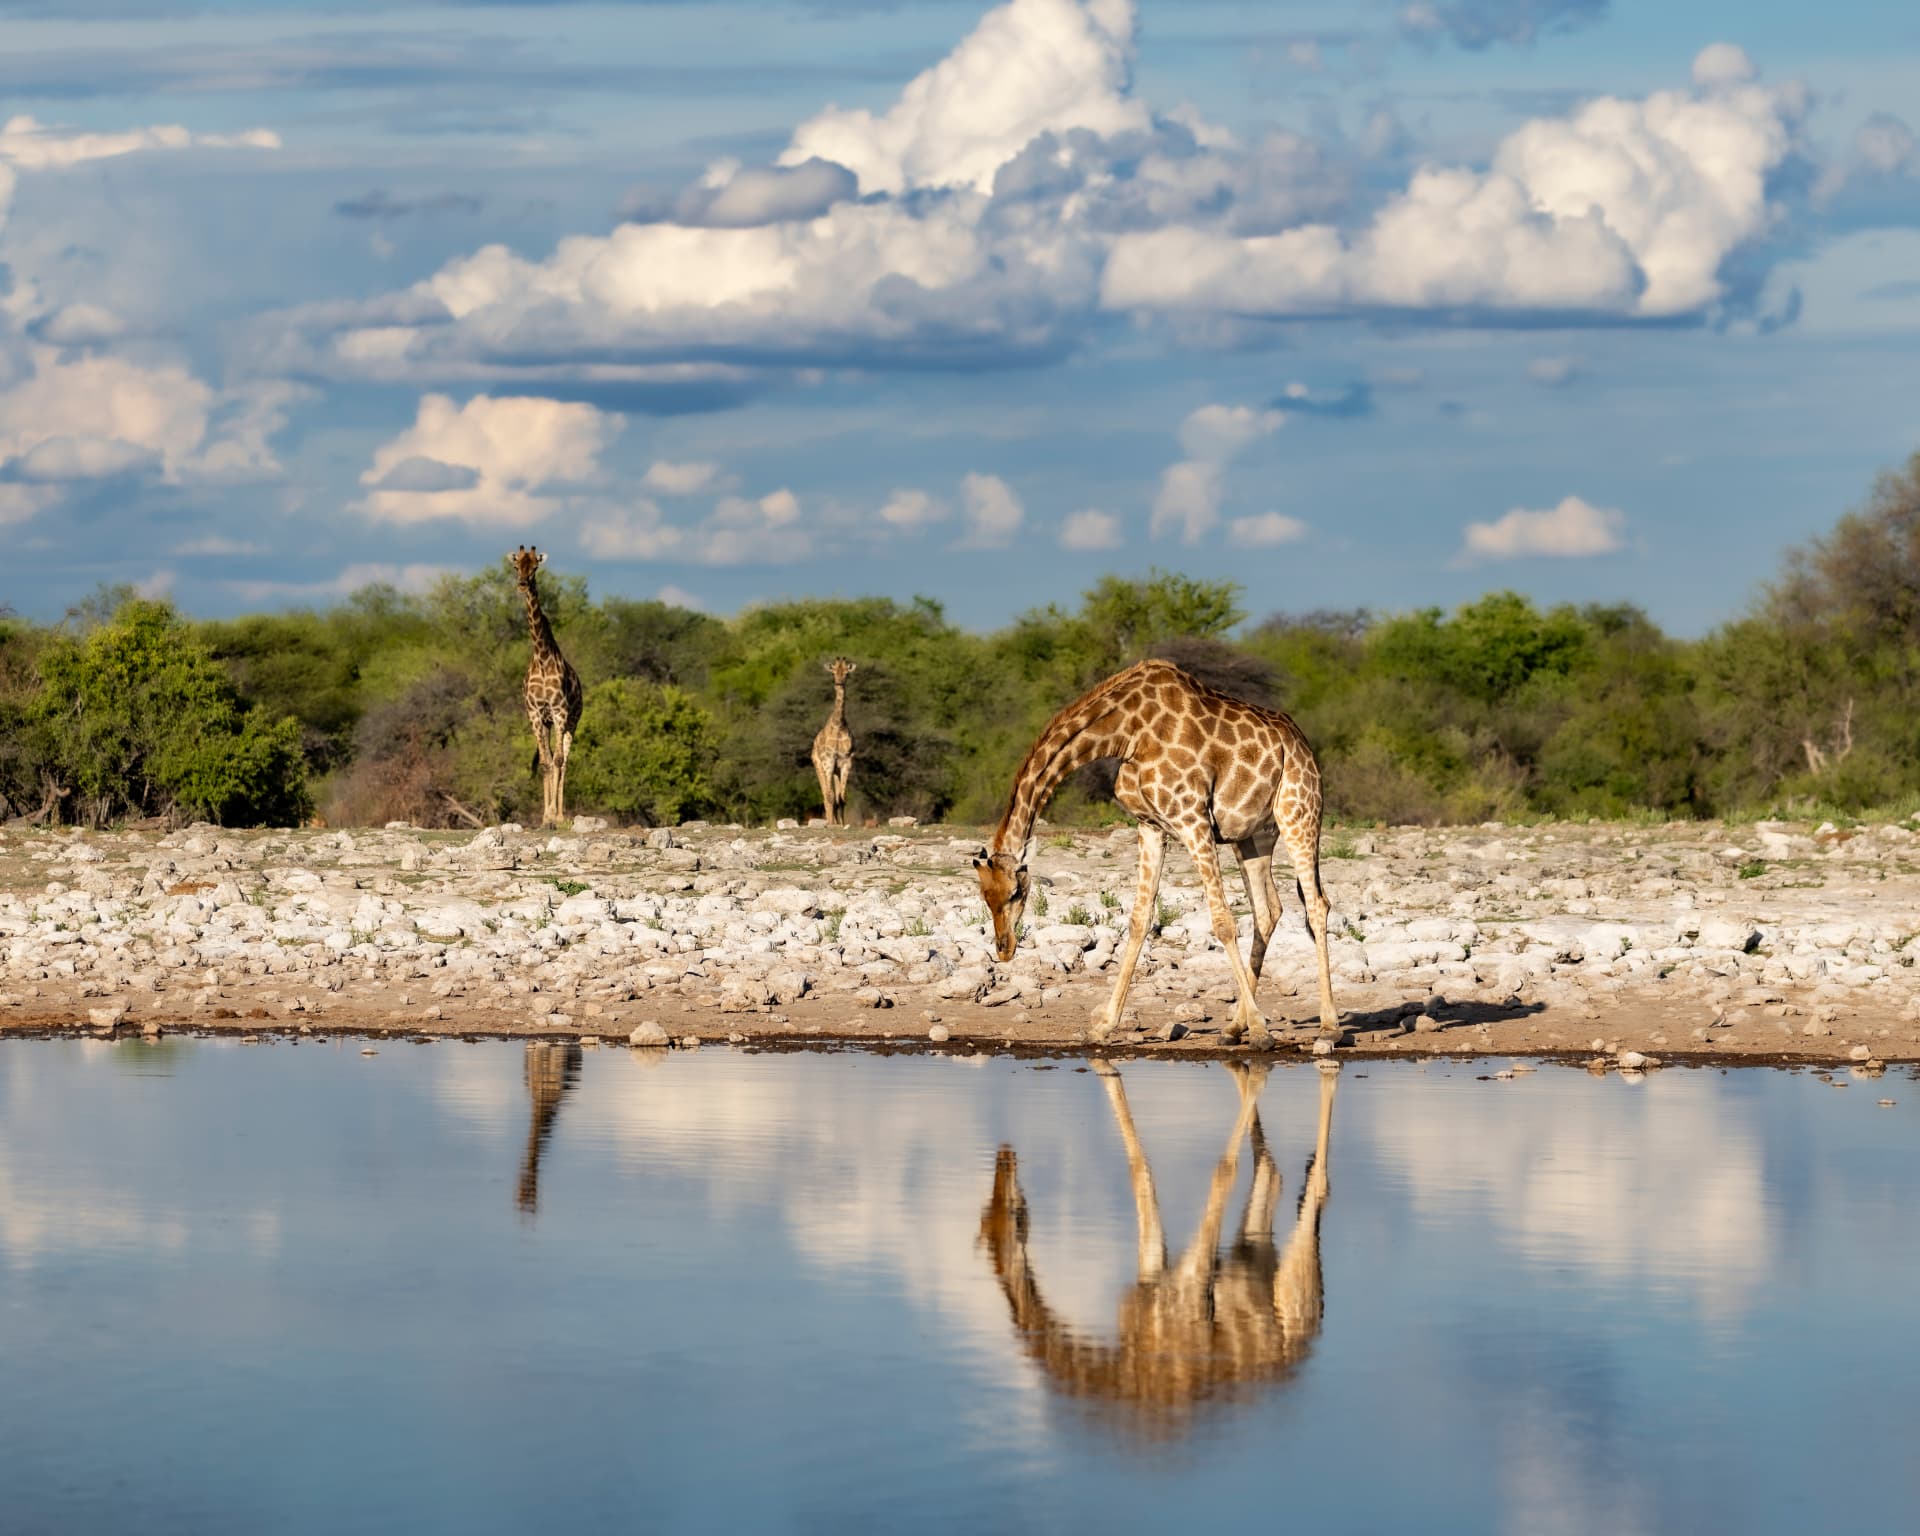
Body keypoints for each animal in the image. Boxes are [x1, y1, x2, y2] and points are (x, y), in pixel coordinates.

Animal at [508, 545, 584, 828]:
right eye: (516, 566)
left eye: (535, 567)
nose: (522, 585)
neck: (541, 657)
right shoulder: (534, 714)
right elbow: (544, 763)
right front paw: (544, 817)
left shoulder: (560, 712)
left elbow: (559, 761)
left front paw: (554, 816)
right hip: (549, 723)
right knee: (551, 760)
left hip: (572, 720)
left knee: (565, 761)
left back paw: (562, 815)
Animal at [810, 656, 856, 827]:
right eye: (833, 672)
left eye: (847, 673)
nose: (838, 683)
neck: (839, 725)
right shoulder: (828, 762)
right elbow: (830, 796)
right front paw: (831, 824)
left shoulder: (846, 762)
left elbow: (842, 798)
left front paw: (841, 824)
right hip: (819, 766)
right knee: (825, 794)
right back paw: (829, 822)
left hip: (836, 770)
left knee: (835, 797)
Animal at [972, 658, 1337, 1045]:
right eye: (985, 897)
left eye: (1015, 893)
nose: (1004, 949)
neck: (1126, 734)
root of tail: (1303, 745)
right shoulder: (1150, 826)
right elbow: (1139, 920)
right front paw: (1104, 1025)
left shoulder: (1192, 818)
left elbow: (1222, 921)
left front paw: (1261, 1029)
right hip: (1253, 836)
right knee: (1268, 911)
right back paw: (1234, 1028)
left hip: (1300, 813)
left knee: (1316, 905)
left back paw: (1328, 1025)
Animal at [978, 1060, 1338, 1439]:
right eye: (987, 1214)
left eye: (1015, 1216)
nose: (1004, 1158)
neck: (1121, 1366)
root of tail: (1310, 1330)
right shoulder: (1153, 1270)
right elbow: (1140, 1171)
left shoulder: (1190, 1284)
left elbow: (1222, 1172)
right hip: (1253, 1251)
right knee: (1271, 1175)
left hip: (1295, 1285)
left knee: (1314, 1189)